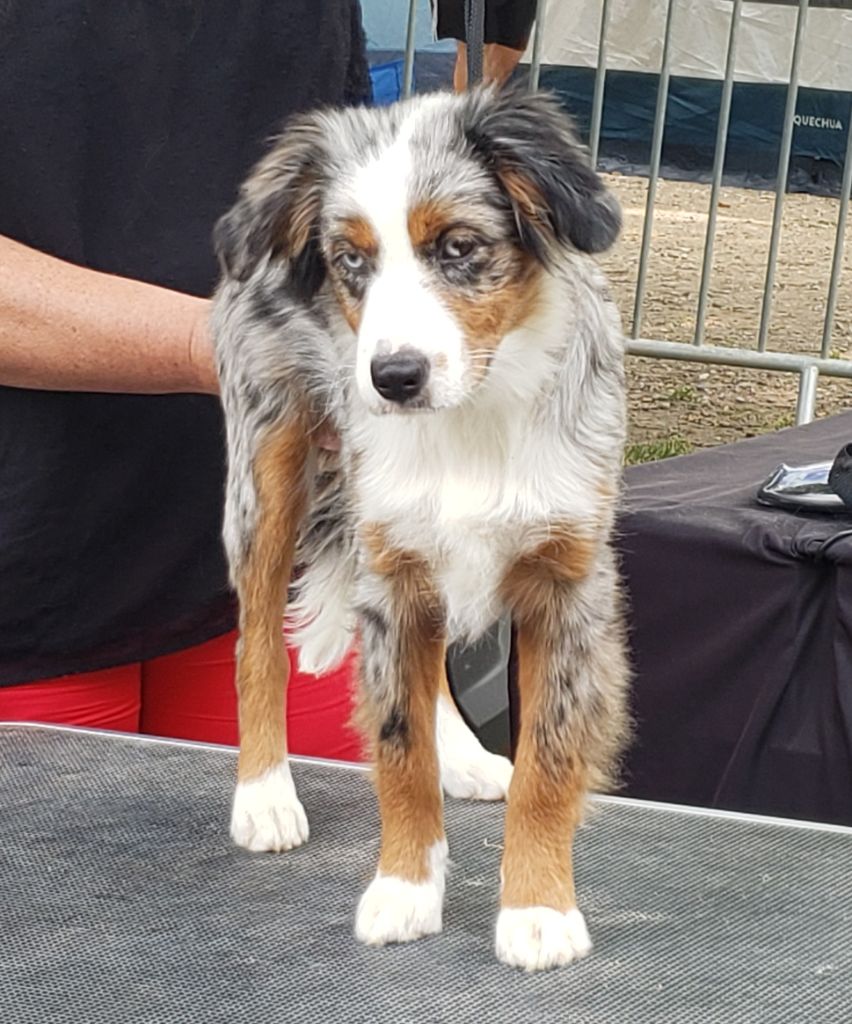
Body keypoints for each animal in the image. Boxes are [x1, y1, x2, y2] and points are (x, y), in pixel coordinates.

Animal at [209, 86, 630, 966]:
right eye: (350, 262)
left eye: (459, 247)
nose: (392, 377)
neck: (473, 416)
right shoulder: (391, 571)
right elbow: (398, 750)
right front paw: (404, 889)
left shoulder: (568, 579)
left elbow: (548, 758)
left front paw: (538, 907)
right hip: (265, 469)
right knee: (255, 641)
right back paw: (263, 795)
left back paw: (465, 757)